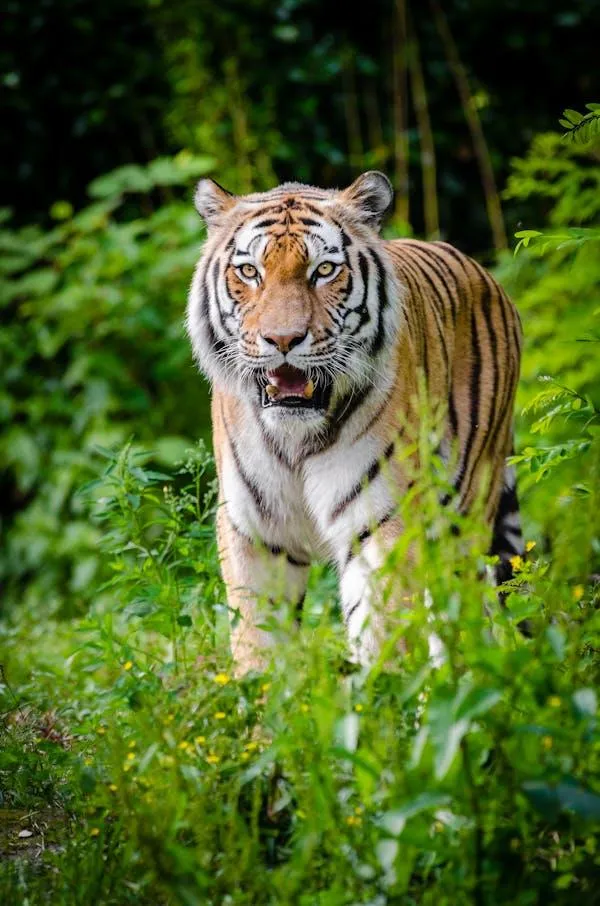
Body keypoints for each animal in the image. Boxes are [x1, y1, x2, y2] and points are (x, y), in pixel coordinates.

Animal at [186, 171, 523, 672]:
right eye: (249, 272)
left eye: (324, 270)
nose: (282, 339)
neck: (295, 437)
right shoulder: (255, 531)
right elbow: (257, 643)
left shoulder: (380, 523)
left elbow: (383, 634)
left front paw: (381, 692)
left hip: (464, 516)